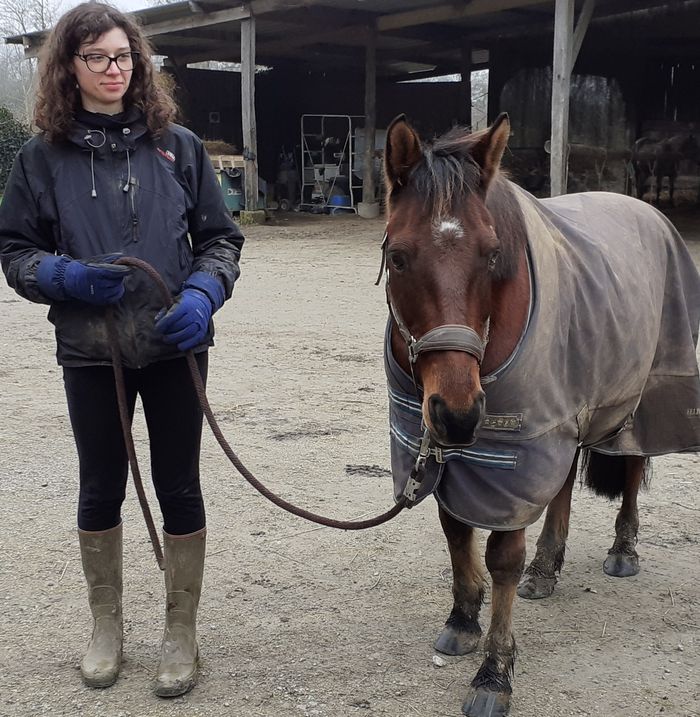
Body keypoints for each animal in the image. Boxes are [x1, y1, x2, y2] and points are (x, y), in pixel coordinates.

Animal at [381, 113, 700, 716]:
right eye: (398, 257)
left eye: (491, 254)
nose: (458, 413)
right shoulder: (443, 453)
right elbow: (455, 530)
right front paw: (462, 619)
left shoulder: (516, 453)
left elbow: (502, 554)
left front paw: (494, 673)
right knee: (565, 484)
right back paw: (546, 569)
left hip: (634, 402)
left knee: (629, 468)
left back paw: (623, 551)